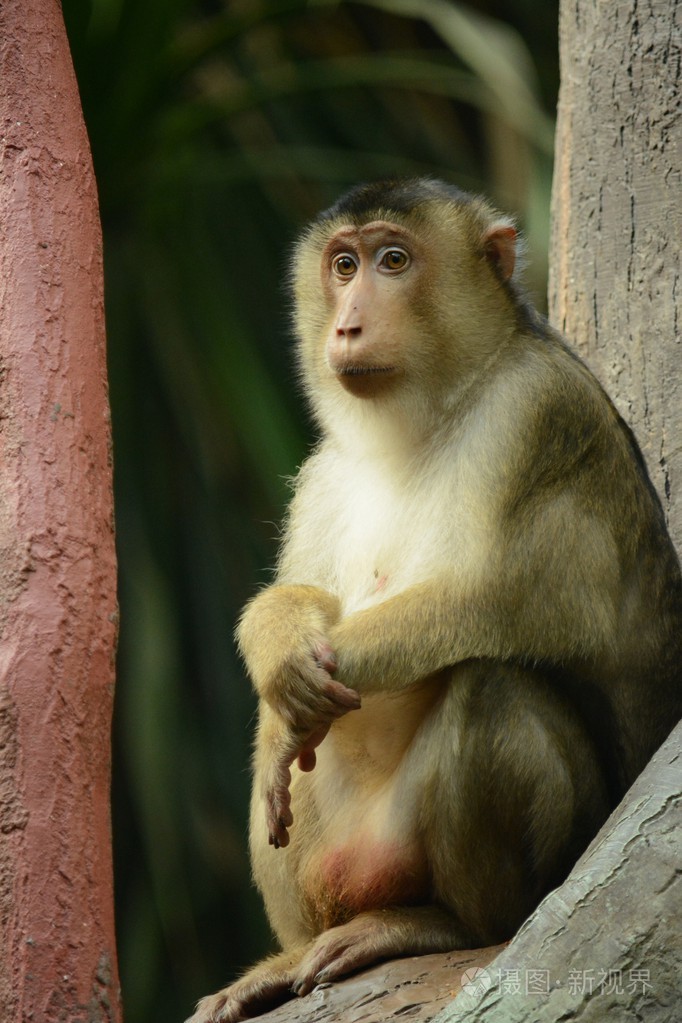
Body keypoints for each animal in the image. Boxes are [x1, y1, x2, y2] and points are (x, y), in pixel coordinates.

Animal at [187, 178, 682, 1023]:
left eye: (394, 260)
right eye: (343, 265)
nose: (349, 323)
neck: (430, 413)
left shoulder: (539, 410)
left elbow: (495, 599)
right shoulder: (325, 471)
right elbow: (307, 601)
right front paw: (276, 636)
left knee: (489, 683)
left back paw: (450, 922)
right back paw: (285, 958)